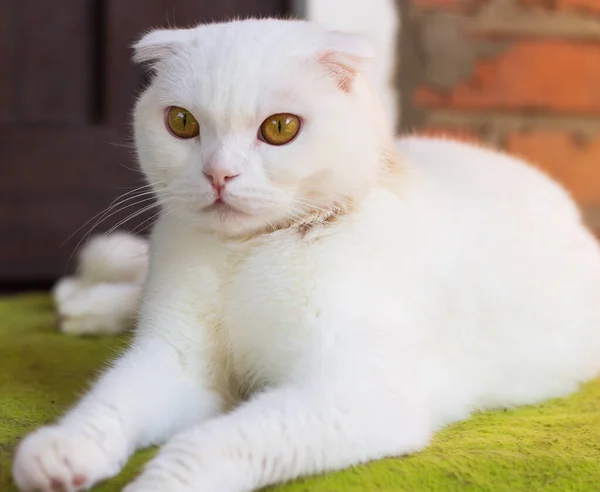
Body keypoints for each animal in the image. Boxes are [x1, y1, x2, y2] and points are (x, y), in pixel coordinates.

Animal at [12, 17, 600, 492]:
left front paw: (157, 485)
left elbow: (213, 440)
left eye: (280, 128)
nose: (218, 174)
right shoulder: (177, 361)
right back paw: (84, 302)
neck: (248, 255)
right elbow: (112, 400)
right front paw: (62, 449)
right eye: (181, 122)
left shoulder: (354, 392)